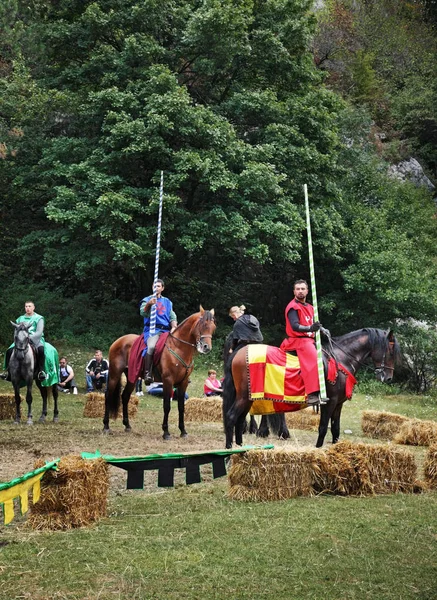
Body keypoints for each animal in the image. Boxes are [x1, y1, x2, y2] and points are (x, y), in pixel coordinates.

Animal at [104, 308, 216, 438]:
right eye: (203, 325)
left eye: (213, 327)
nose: (206, 347)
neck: (179, 347)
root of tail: (119, 340)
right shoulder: (168, 381)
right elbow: (167, 406)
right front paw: (166, 432)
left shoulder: (183, 383)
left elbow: (181, 407)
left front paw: (183, 431)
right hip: (114, 374)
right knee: (108, 395)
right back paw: (106, 426)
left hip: (132, 377)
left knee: (125, 396)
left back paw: (127, 425)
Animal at [223, 328, 400, 450]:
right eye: (391, 351)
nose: (388, 377)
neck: (341, 358)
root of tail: (239, 353)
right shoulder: (329, 402)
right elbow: (323, 428)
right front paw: (318, 448)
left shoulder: (339, 404)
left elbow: (335, 429)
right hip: (244, 397)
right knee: (231, 417)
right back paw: (230, 448)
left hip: (248, 398)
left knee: (239, 419)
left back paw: (240, 446)